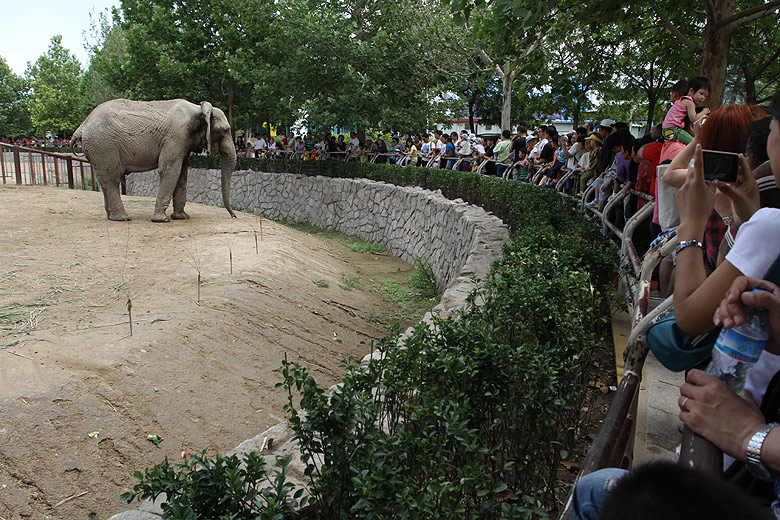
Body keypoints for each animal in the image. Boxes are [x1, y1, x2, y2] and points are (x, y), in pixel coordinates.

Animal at [71, 99, 236, 222]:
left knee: (105, 180)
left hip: (98, 148)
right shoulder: (176, 137)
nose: (233, 216)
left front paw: (182, 217)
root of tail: (82, 126)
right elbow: (170, 170)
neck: (199, 109)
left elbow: (182, 173)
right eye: (224, 130)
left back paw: (112, 217)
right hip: (104, 145)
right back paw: (123, 218)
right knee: (112, 178)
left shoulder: (183, 141)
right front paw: (162, 220)